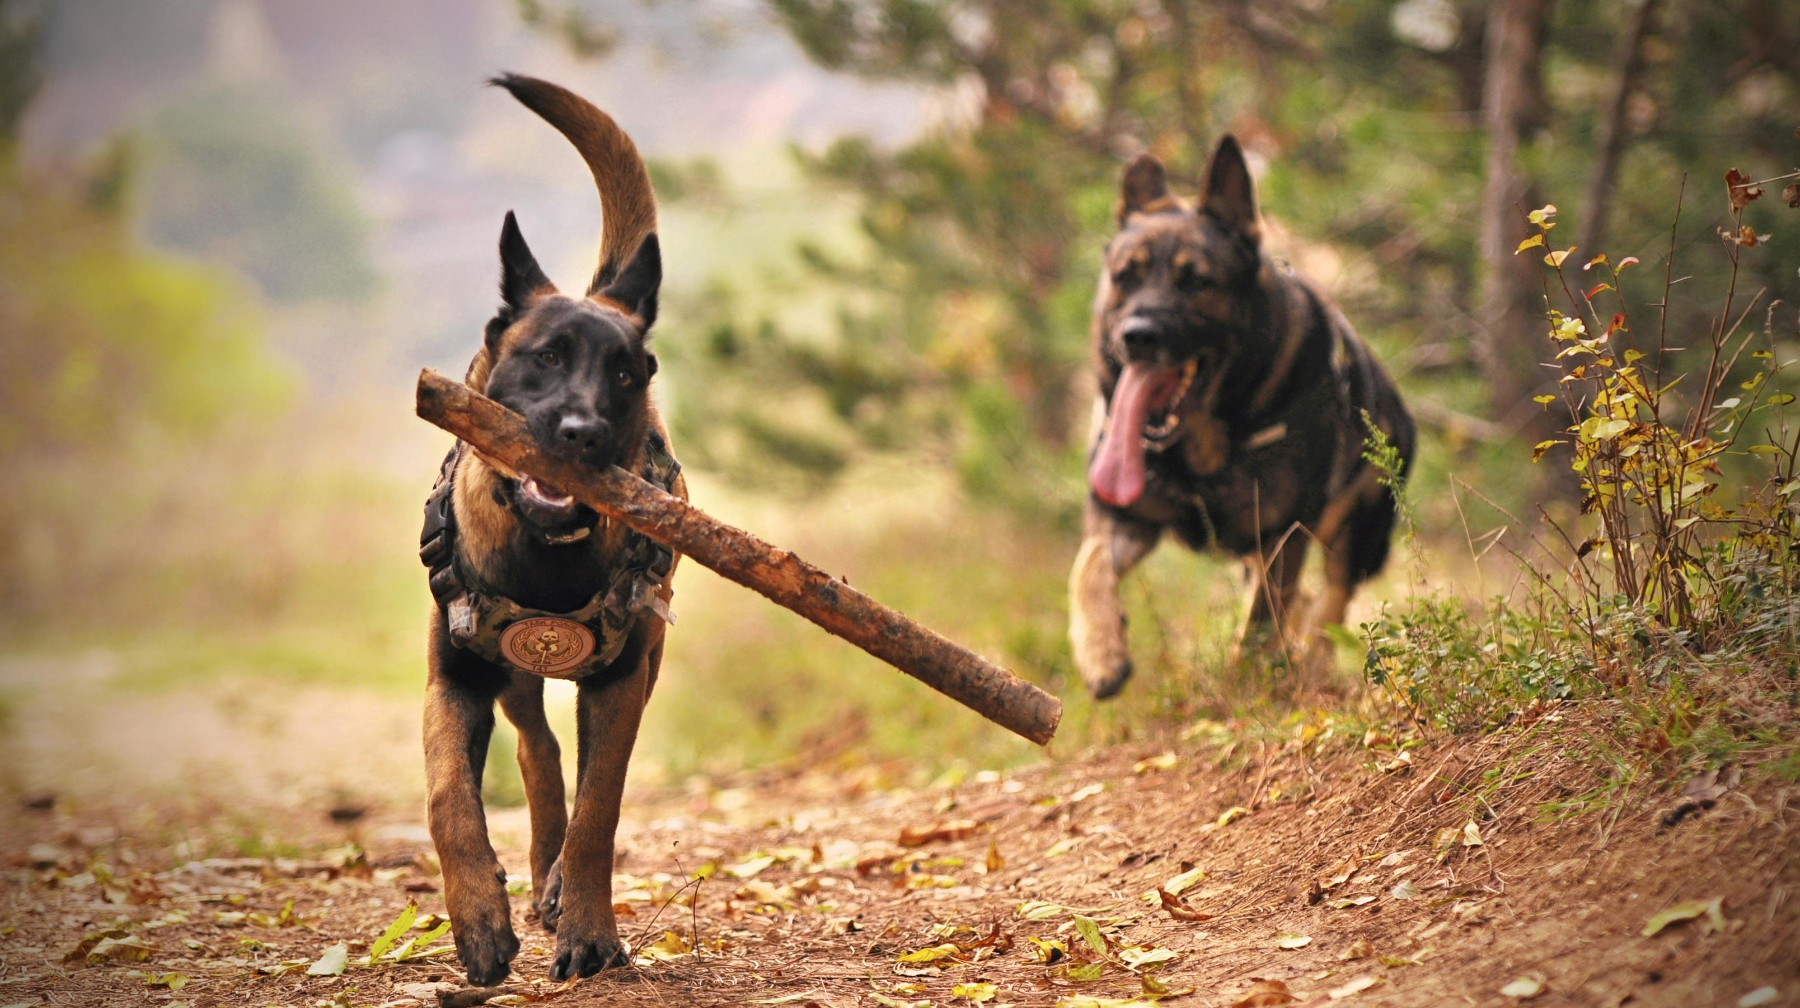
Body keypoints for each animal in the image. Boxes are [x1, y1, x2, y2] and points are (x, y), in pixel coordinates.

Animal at [414, 72, 680, 986]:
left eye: (626, 373)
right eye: (547, 358)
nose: (582, 433)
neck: (545, 556)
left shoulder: (622, 680)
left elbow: (602, 810)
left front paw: (589, 931)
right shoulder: (455, 677)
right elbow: (449, 797)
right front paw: (478, 922)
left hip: (644, 661)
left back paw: (559, 885)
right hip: (509, 676)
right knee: (537, 751)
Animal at [1058, 135, 1411, 702]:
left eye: (1196, 282)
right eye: (1125, 278)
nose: (1137, 336)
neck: (1198, 447)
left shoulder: (1283, 536)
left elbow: (1260, 624)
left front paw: (1248, 686)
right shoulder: (1123, 517)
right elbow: (1087, 565)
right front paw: (1100, 651)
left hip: (1356, 537)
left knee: (1329, 606)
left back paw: (1311, 669)